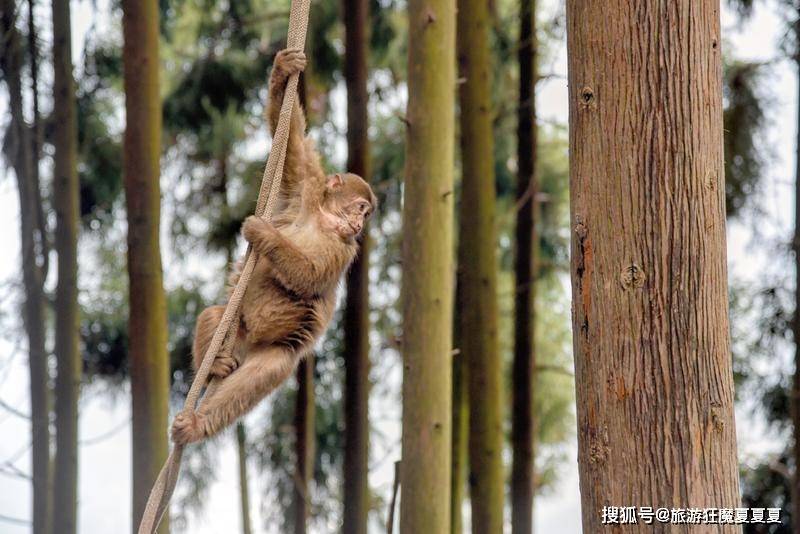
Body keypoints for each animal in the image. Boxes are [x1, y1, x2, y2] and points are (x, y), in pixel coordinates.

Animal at [170, 48, 376, 446]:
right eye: (361, 208)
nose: (360, 224)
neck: (325, 218)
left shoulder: (346, 249)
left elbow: (312, 277)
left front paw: (263, 235)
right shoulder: (305, 187)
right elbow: (291, 142)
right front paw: (283, 69)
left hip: (271, 349)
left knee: (267, 370)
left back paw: (199, 424)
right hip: (238, 332)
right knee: (215, 316)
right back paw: (214, 365)